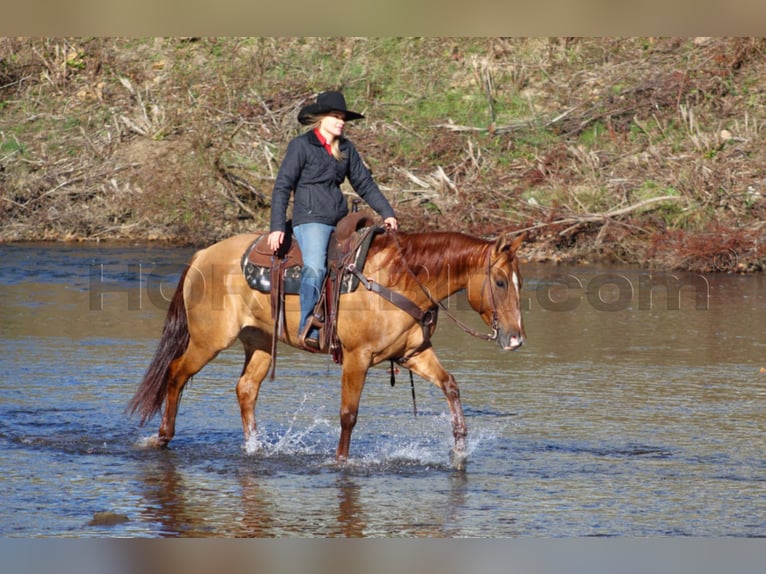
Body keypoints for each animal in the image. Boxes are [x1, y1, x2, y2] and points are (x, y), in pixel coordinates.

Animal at [130, 227, 528, 470]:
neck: (398, 281)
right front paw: (340, 461)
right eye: (500, 281)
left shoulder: (414, 355)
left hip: (258, 342)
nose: (515, 338)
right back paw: (162, 437)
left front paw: (459, 449)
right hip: (208, 340)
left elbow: (451, 386)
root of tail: (201, 255)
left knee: (245, 389)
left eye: (519, 282)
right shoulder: (357, 358)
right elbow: (348, 414)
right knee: (176, 372)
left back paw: (255, 448)